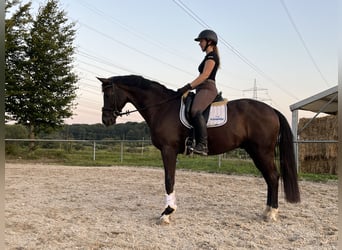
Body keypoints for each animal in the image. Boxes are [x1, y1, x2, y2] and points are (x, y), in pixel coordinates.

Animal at [98, 75, 300, 224]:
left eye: (108, 94)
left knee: (273, 177)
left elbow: (169, 180)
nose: (106, 120)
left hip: (261, 152)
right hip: (255, 152)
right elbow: (170, 179)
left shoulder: (168, 150)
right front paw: (169, 210)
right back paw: (267, 211)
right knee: (270, 178)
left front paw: (167, 213)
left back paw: (271, 213)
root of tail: (272, 110)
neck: (162, 107)